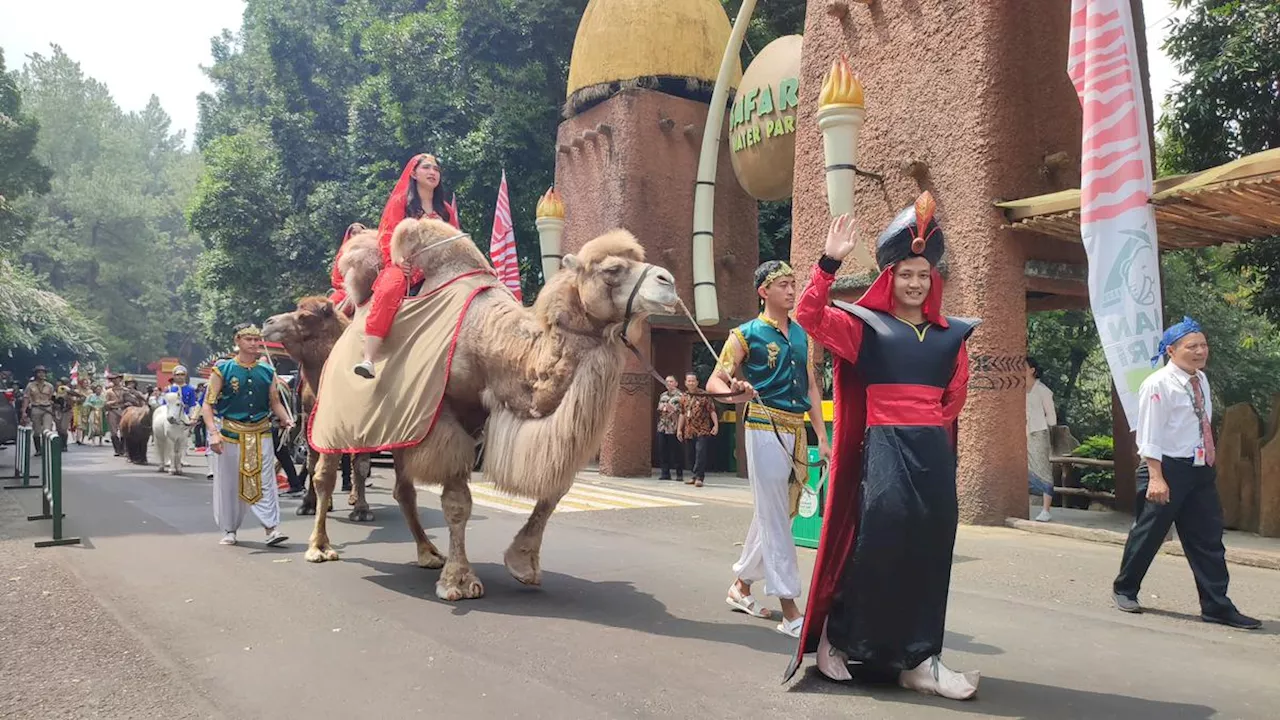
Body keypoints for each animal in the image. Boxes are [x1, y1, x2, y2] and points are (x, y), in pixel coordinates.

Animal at [261, 294, 373, 517]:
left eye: (304, 317)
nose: (268, 322)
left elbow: (361, 464)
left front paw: (362, 509)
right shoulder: (308, 417)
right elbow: (312, 461)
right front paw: (308, 504)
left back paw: (353, 497)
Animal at [305, 213, 680, 599]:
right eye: (612, 269)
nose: (668, 282)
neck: (494, 345)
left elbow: (555, 489)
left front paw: (521, 564)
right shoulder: (445, 416)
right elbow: (457, 503)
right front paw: (458, 581)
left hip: (399, 425)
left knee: (403, 490)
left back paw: (427, 553)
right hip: (335, 415)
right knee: (325, 474)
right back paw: (320, 546)